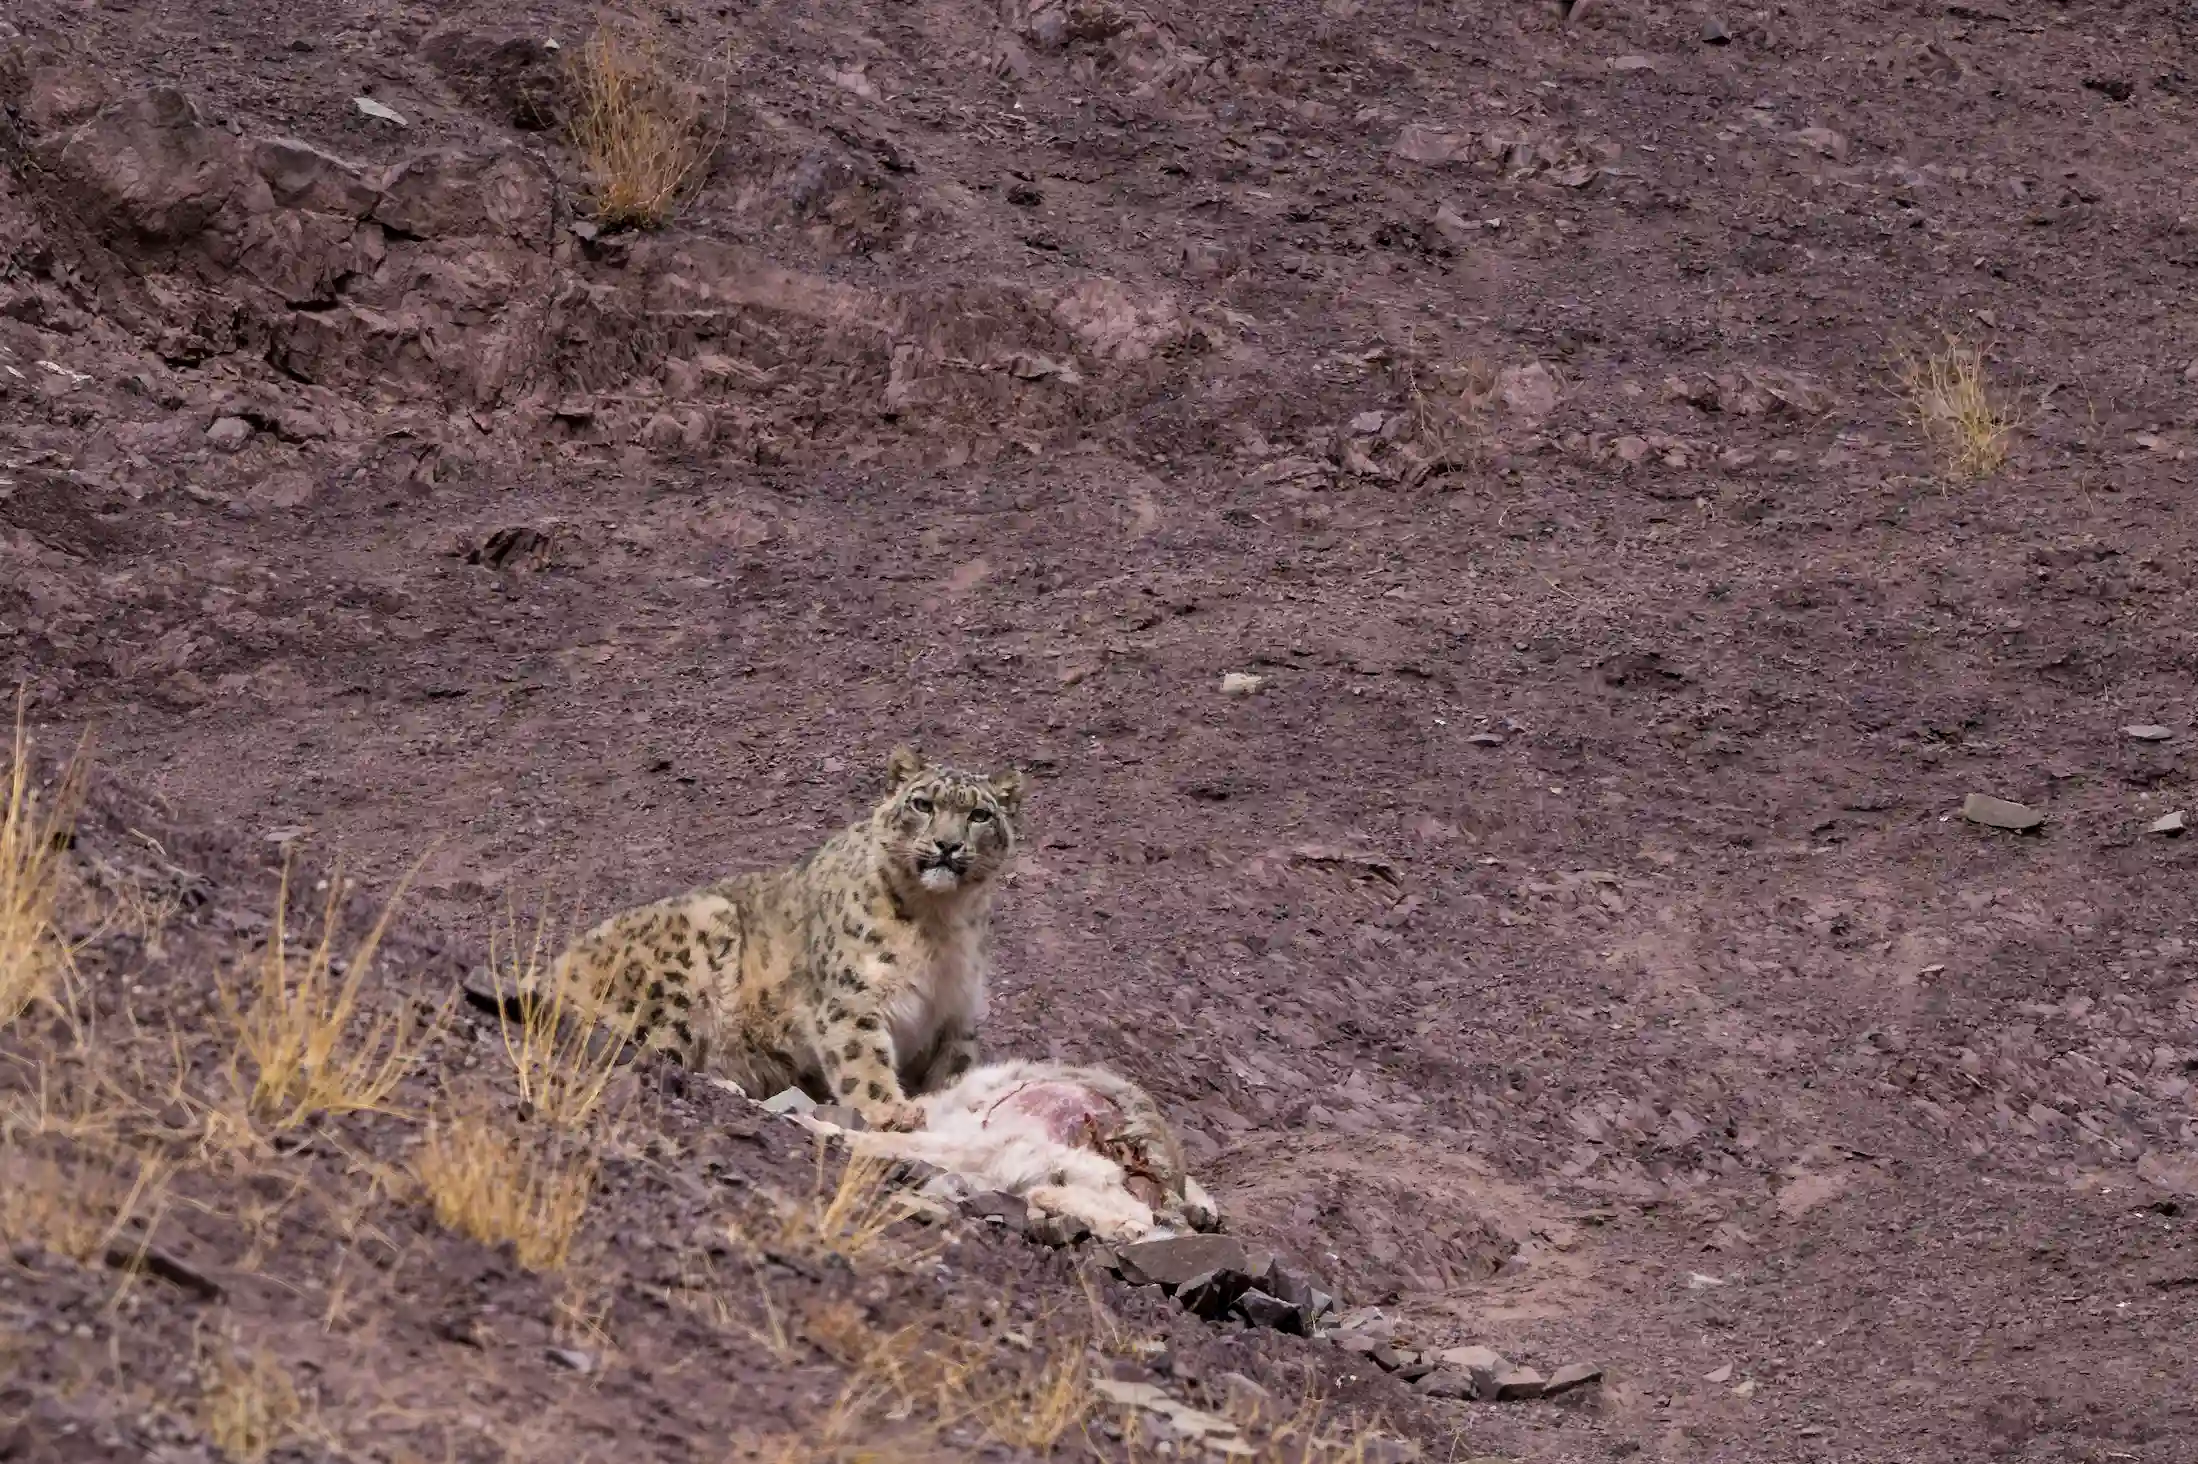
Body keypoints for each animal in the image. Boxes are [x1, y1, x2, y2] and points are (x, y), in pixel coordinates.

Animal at [545, 745, 1025, 1131]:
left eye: (979, 815)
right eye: (923, 804)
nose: (947, 845)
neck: (939, 924)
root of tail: (553, 967)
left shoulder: (956, 1017)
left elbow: (954, 1073)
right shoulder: (851, 997)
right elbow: (863, 1059)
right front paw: (891, 1111)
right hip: (681, 962)